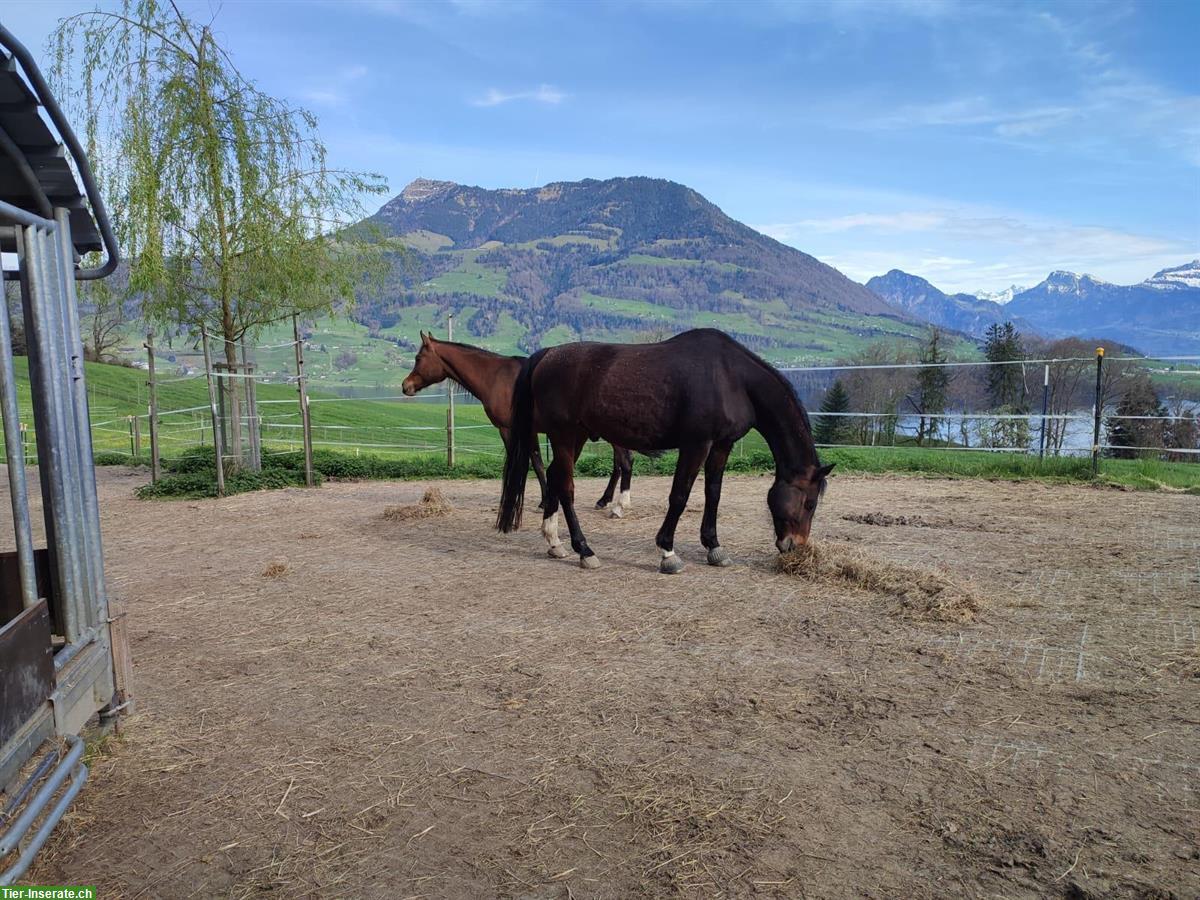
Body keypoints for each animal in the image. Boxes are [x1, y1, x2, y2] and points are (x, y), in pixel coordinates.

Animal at [400, 331, 638, 513]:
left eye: (418, 358)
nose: (405, 386)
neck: (496, 377)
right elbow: (538, 462)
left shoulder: (510, 430)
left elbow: (533, 463)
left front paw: (541, 501)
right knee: (619, 464)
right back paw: (605, 500)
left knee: (624, 462)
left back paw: (619, 504)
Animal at [492, 328, 830, 573]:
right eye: (810, 503)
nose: (795, 546)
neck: (731, 378)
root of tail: (547, 355)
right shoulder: (696, 444)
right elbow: (679, 495)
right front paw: (668, 551)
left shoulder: (722, 444)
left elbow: (714, 493)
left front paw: (714, 547)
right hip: (563, 435)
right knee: (566, 487)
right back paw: (584, 550)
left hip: (575, 436)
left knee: (555, 478)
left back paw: (554, 542)